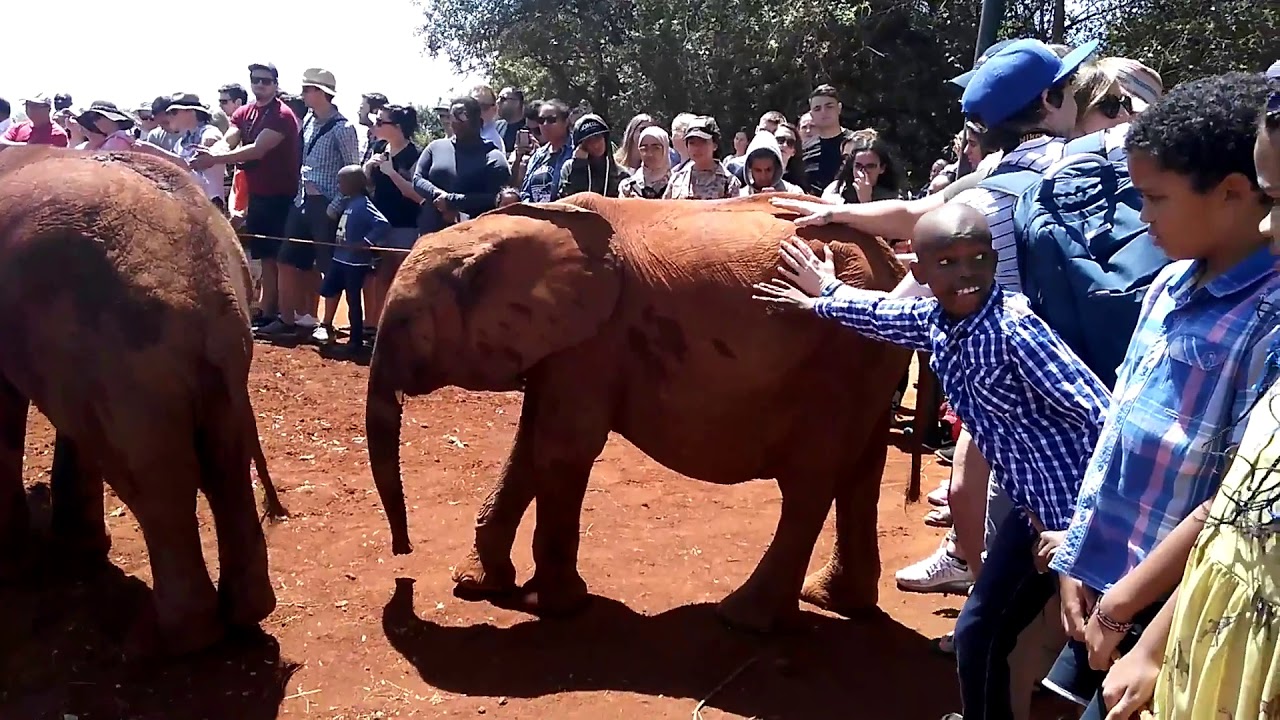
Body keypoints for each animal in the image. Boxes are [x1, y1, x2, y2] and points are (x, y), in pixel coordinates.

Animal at [0, 145, 287, 656]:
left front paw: (14, 571)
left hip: (127, 358)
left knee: (162, 483)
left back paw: (169, 639)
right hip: (164, 361)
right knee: (223, 463)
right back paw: (246, 614)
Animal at [366, 192, 914, 631]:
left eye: (403, 324)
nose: (403, 553)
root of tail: (894, 262)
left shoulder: (594, 342)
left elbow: (562, 449)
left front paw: (556, 606)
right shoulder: (563, 346)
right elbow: (527, 445)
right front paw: (477, 586)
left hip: (838, 361)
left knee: (809, 484)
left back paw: (743, 619)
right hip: (869, 358)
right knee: (861, 473)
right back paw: (833, 600)